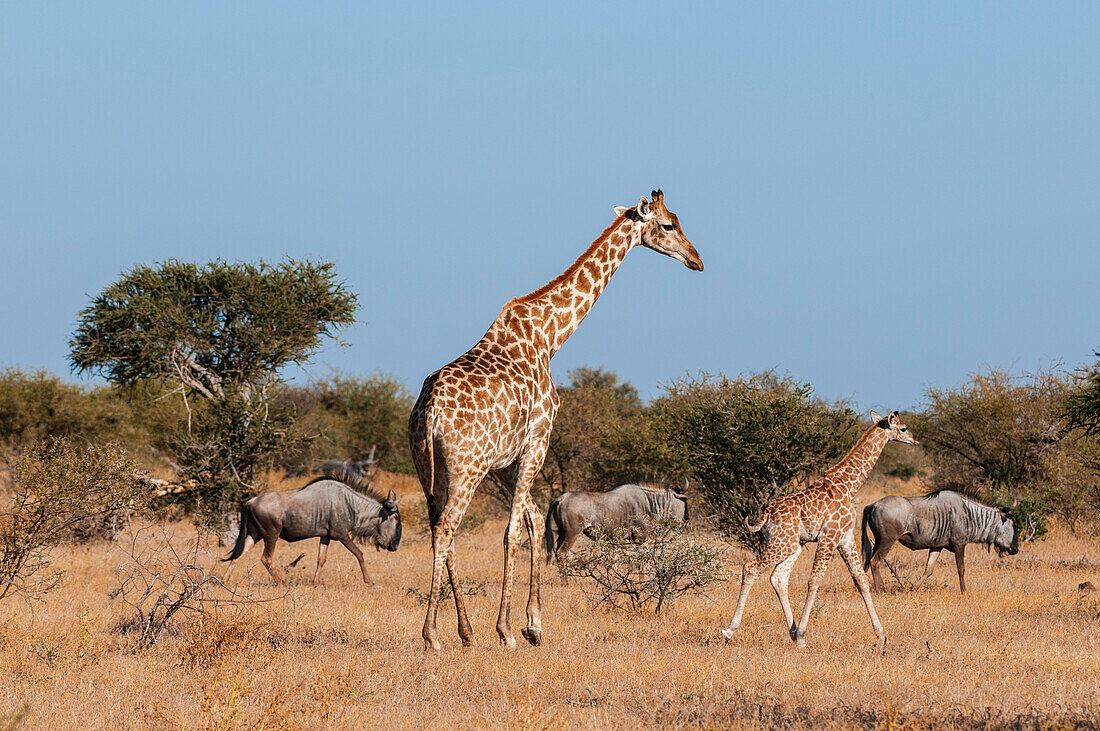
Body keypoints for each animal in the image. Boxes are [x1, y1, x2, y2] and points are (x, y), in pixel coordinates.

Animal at [409, 189, 699, 650]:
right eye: (669, 225)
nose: (696, 259)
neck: (550, 336)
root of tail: (430, 409)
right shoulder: (537, 442)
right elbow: (513, 531)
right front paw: (508, 630)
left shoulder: (507, 461)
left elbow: (531, 522)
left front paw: (533, 625)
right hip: (465, 467)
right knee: (446, 530)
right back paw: (433, 636)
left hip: (427, 468)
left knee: (443, 530)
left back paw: (465, 632)